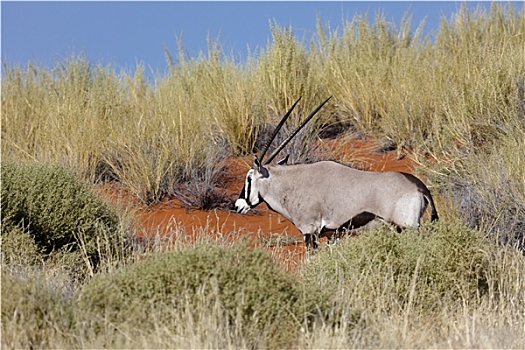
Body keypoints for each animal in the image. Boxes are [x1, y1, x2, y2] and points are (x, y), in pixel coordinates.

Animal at [234, 97, 438, 250]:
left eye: (249, 178)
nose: (237, 206)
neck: (292, 183)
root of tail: (419, 186)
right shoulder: (332, 234)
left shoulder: (310, 232)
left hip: (407, 227)